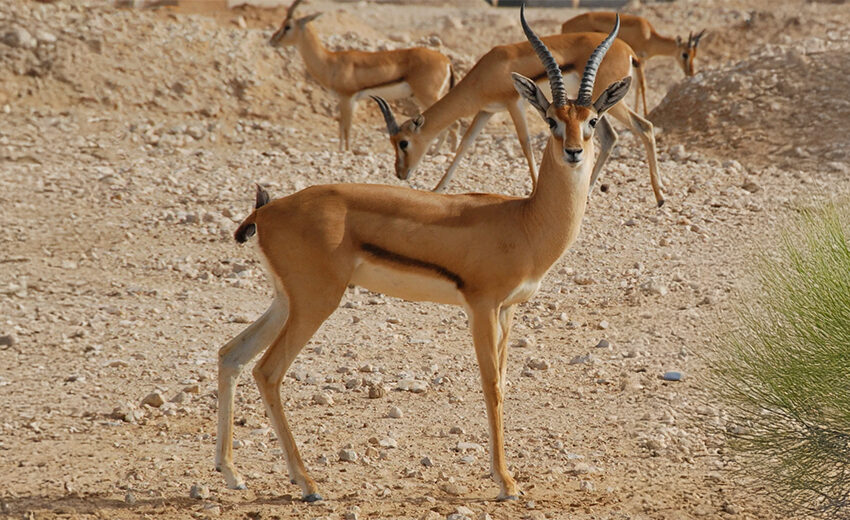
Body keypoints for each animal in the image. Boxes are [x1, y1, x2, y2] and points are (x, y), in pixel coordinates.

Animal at [269, 0, 457, 152]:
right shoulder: (348, 100)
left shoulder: (347, 98)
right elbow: (342, 126)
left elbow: (346, 127)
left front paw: (346, 151)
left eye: (287, 26)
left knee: (452, 122)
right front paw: (342, 150)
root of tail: (446, 60)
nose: (272, 41)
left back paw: (439, 153)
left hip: (427, 95)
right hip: (420, 97)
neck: (330, 61)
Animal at [373, 15, 664, 206]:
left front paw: (535, 189)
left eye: (403, 143)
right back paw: (589, 190)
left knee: (644, 126)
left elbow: (524, 143)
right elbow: (465, 144)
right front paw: (437, 188)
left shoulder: (514, 104)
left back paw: (660, 196)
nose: (400, 173)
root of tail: (628, 49)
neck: (489, 70)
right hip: (601, 106)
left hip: (610, 105)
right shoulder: (487, 111)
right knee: (611, 137)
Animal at [562, 12, 706, 116]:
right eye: (685, 54)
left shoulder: (641, 62)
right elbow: (642, 85)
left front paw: (638, 112)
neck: (648, 36)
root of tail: (565, 25)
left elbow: (637, 87)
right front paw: (646, 114)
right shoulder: (640, 61)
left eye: (694, 54)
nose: (690, 72)